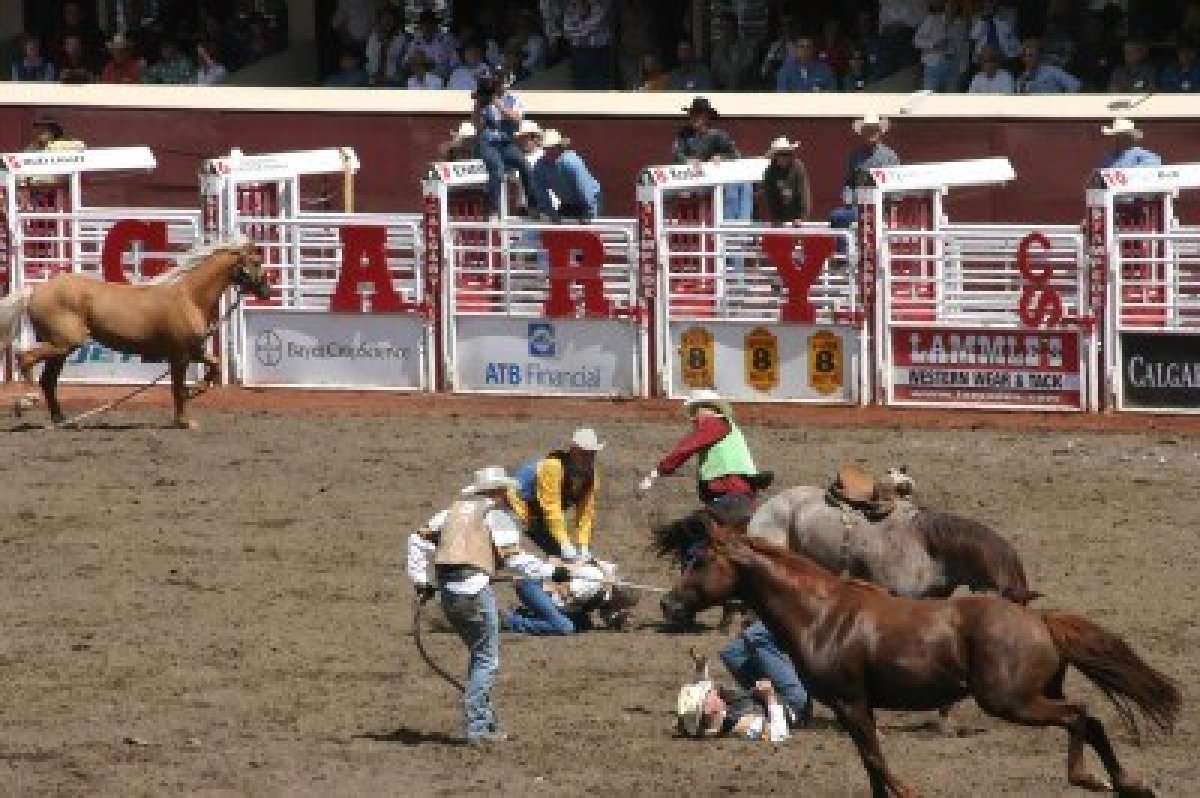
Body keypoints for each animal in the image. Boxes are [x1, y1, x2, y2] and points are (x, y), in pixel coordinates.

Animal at [1, 240, 270, 427]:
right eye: (256, 262)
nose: (267, 291)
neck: (189, 297)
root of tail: (35, 291)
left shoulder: (192, 351)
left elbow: (213, 367)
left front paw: (195, 392)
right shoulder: (179, 356)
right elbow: (177, 388)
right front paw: (184, 421)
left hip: (61, 348)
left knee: (48, 381)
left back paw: (61, 419)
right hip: (64, 343)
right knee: (25, 359)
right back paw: (25, 401)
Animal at [662, 513, 1185, 792]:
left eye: (701, 560)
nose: (669, 603)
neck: (822, 614)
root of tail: (1040, 621)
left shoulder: (852, 702)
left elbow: (877, 762)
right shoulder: (855, 708)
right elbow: (871, 767)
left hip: (1010, 701)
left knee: (1079, 714)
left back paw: (1092, 779)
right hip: (1033, 695)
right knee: (1088, 719)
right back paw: (1125, 782)